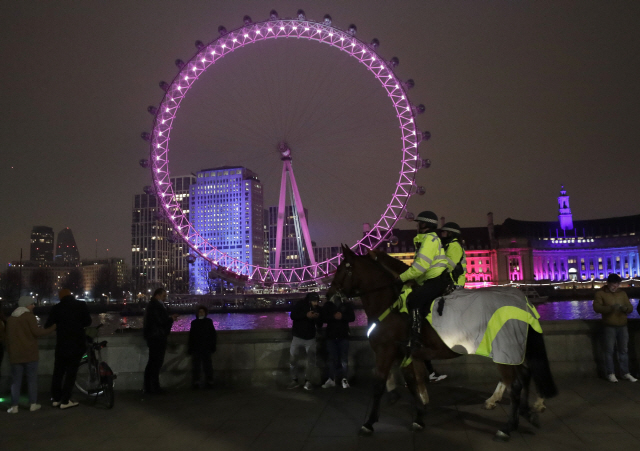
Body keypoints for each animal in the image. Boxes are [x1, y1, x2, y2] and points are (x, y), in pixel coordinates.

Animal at [328, 245, 556, 444]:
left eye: (341, 269)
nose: (329, 295)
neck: (390, 302)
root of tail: (522, 299)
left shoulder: (386, 350)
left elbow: (378, 385)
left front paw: (369, 423)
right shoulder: (405, 352)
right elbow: (411, 381)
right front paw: (419, 416)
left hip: (504, 350)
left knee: (515, 384)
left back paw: (508, 426)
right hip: (514, 349)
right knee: (525, 375)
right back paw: (525, 413)